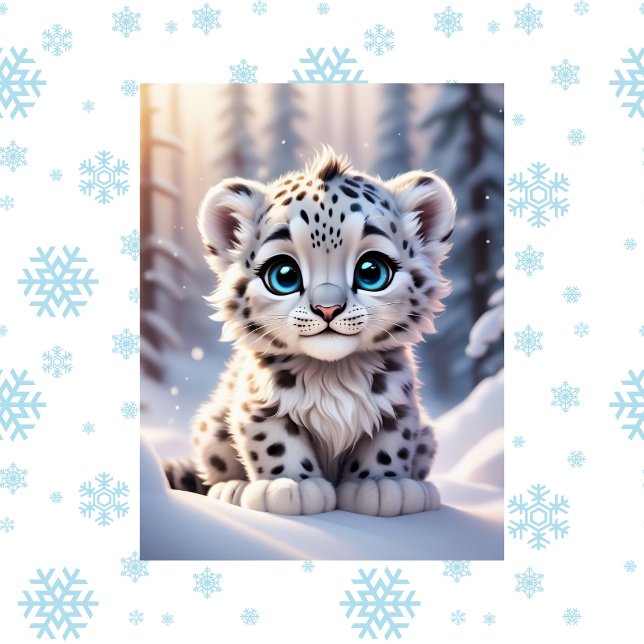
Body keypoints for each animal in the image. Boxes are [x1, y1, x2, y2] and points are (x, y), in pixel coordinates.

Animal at [164, 146, 456, 517]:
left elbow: (390, 442)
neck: (332, 375)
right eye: (284, 275)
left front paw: (381, 485)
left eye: (371, 271)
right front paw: (290, 487)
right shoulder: (260, 405)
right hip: (212, 426)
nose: (327, 308)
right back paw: (232, 488)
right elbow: (274, 441)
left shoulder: (397, 403)